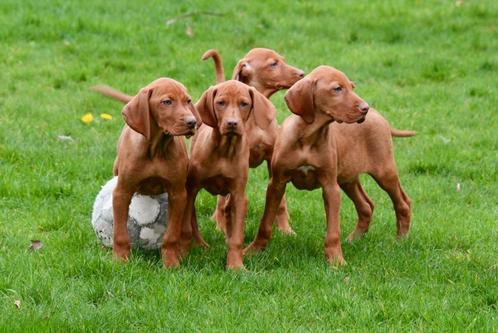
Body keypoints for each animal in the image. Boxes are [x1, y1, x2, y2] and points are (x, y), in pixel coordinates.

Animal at [112, 76, 201, 266]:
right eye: (167, 102)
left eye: (188, 101)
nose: (192, 122)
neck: (156, 150)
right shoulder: (122, 192)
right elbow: (120, 233)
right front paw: (120, 259)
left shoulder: (178, 194)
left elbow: (172, 234)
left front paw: (171, 261)